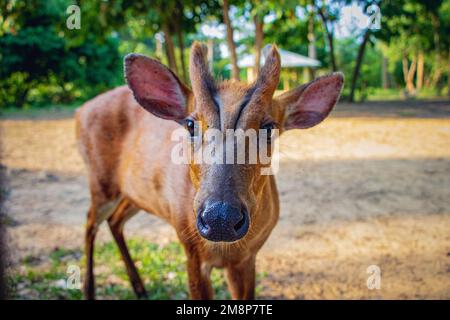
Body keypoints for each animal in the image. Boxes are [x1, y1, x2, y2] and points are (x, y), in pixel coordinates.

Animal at [75, 42, 342, 300]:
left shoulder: (248, 257)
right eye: (190, 124)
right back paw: (89, 290)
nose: (220, 218)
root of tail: (81, 110)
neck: (226, 250)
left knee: (115, 221)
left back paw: (139, 288)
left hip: (136, 194)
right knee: (89, 222)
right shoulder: (191, 251)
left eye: (269, 127)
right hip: (101, 181)